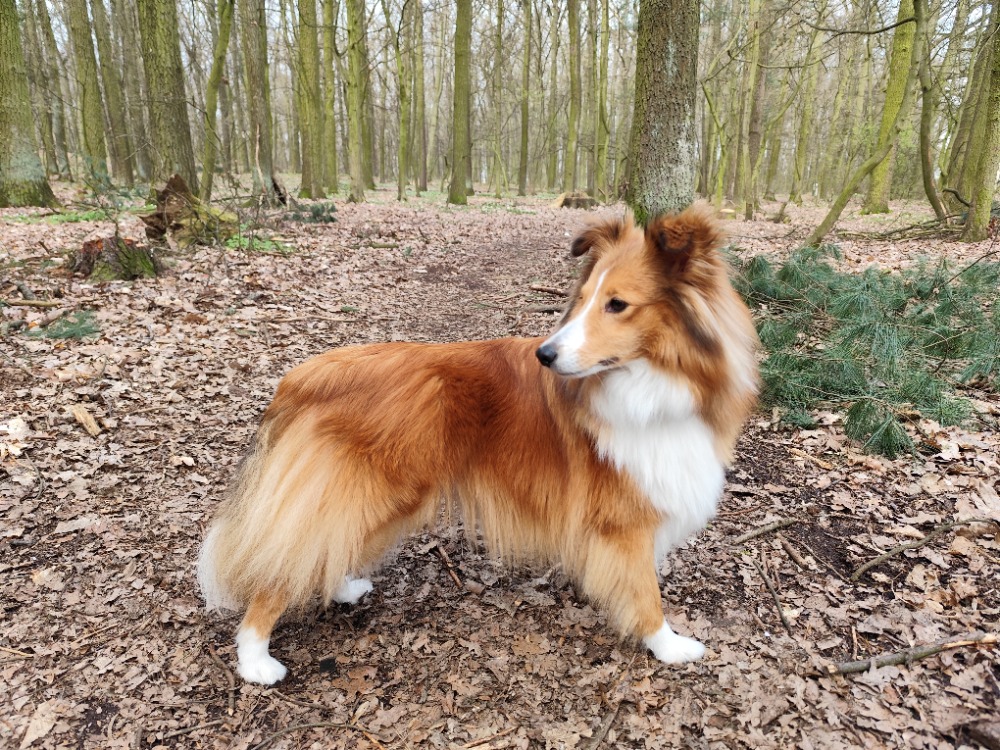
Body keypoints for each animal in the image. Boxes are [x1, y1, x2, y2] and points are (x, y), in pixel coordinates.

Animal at [198, 203, 759, 684]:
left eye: (617, 305)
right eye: (580, 303)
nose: (545, 356)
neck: (656, 382)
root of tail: (302, 377)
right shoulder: (623, 524)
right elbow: (645, 594)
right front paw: (670, 646)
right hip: (370, 494)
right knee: (282, 572)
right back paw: (255, 661)